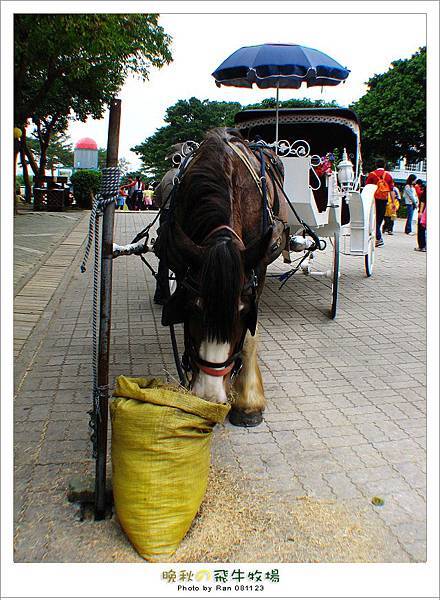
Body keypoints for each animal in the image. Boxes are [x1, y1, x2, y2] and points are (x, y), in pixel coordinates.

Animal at [156, 127, 288, 426]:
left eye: (243, 313)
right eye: (192, 310)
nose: (210, 395)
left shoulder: (257, 267)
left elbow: (250, 337)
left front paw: (248, 403)